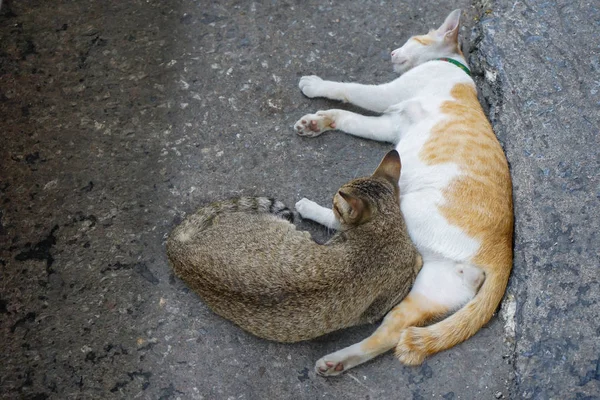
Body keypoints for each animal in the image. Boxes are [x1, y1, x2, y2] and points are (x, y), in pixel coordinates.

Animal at [292, 9, 510, 376]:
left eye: (412, 39)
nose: (392, 52)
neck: (455, 66)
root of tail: (504, 251)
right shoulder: (387, 125)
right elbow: (348, 118)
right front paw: (317, 122)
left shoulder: (386, 96)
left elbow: (349, 90)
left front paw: (316, 85)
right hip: (430, 290)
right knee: (391, 331)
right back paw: (337, 362)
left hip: (405, 204)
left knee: (349, 219)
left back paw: (314, 208)